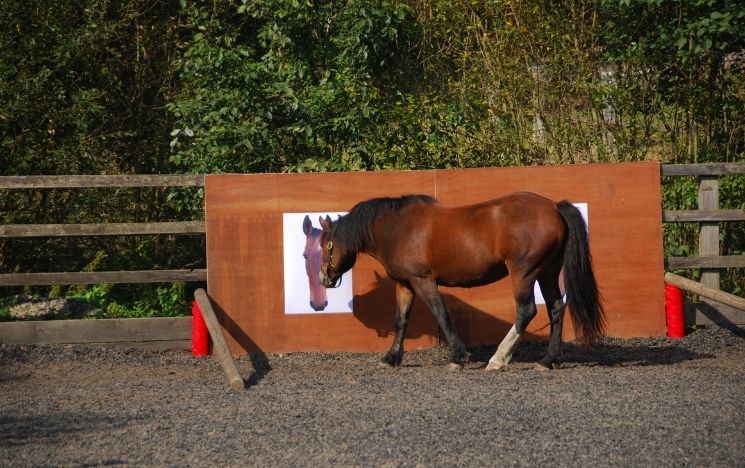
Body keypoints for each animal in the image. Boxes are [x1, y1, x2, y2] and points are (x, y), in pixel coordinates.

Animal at [320, 192, 604, 372]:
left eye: (325, 244)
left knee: (526, 311)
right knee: (556, 309)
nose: (324, 277)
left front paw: (458, 356)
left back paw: (498, 358)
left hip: (524, 273)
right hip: (547, 273)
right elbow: (401, 320)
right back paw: (548, 360)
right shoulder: (405, 284)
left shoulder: (423, 280)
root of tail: (554, 207)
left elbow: (442, 314)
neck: (397, 228)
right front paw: (391, 357)